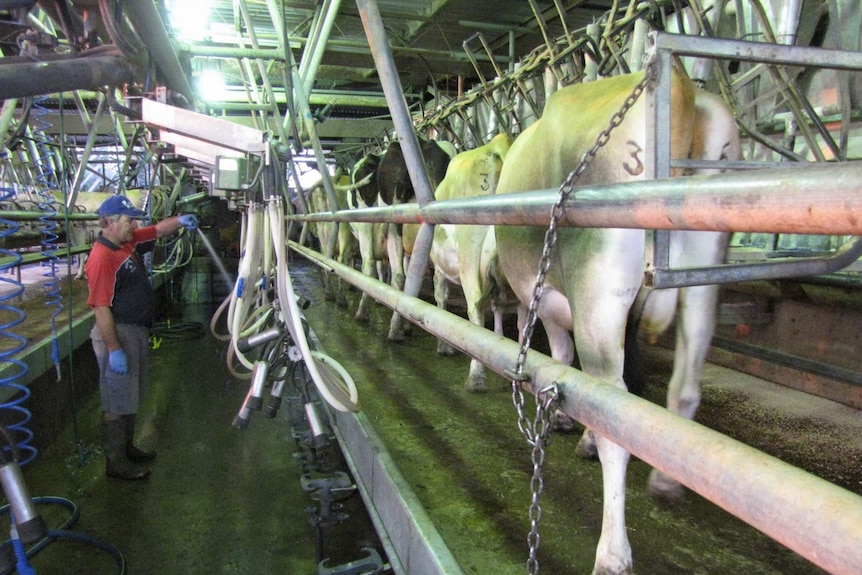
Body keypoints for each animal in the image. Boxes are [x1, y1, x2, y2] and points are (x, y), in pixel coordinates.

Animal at [430, 132, 512, 392]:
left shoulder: (439, 271)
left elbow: (440, 300)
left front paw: (443, 346)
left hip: (469, 257)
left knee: (475, 308)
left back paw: (476, 376)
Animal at [492, 68, 744, 575]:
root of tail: (678, 84)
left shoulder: (547, 298)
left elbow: (564, 360)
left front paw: (570, 426)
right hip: (702, 284)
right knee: (681, 390)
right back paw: (666, 482)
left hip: (597, 295)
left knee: (614, 412)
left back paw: (612, 554)